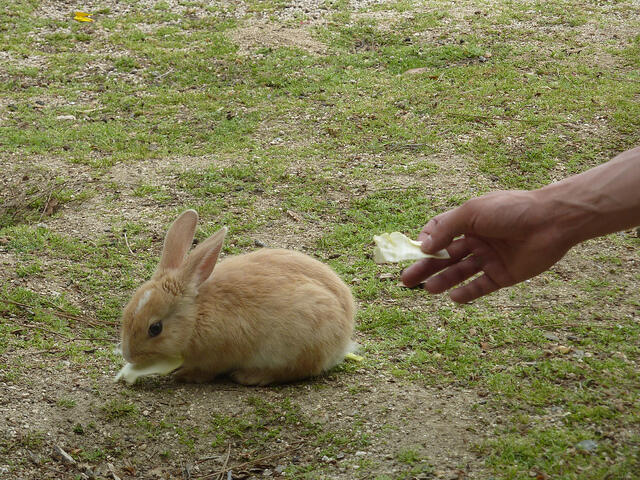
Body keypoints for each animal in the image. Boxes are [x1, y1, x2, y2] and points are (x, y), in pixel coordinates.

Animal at [120, 210, 358, 386]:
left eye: (155, 328)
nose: (128, 356)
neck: (196, 316)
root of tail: (343, 337)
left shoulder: (215, 355)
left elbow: (206, 370)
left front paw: (184, 375)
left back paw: (250, 376)